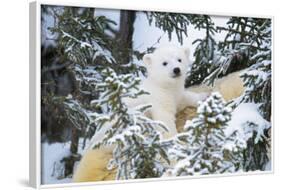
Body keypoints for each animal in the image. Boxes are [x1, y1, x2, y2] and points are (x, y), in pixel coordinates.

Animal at [72, 45, 245, 183]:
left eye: (179, 59)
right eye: (164, 63)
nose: (176, 70)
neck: (163, 87)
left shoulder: (176, 95)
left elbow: (185, 98)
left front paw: (204, 97)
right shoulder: (157, 101)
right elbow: (165, 121)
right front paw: (175, 142)